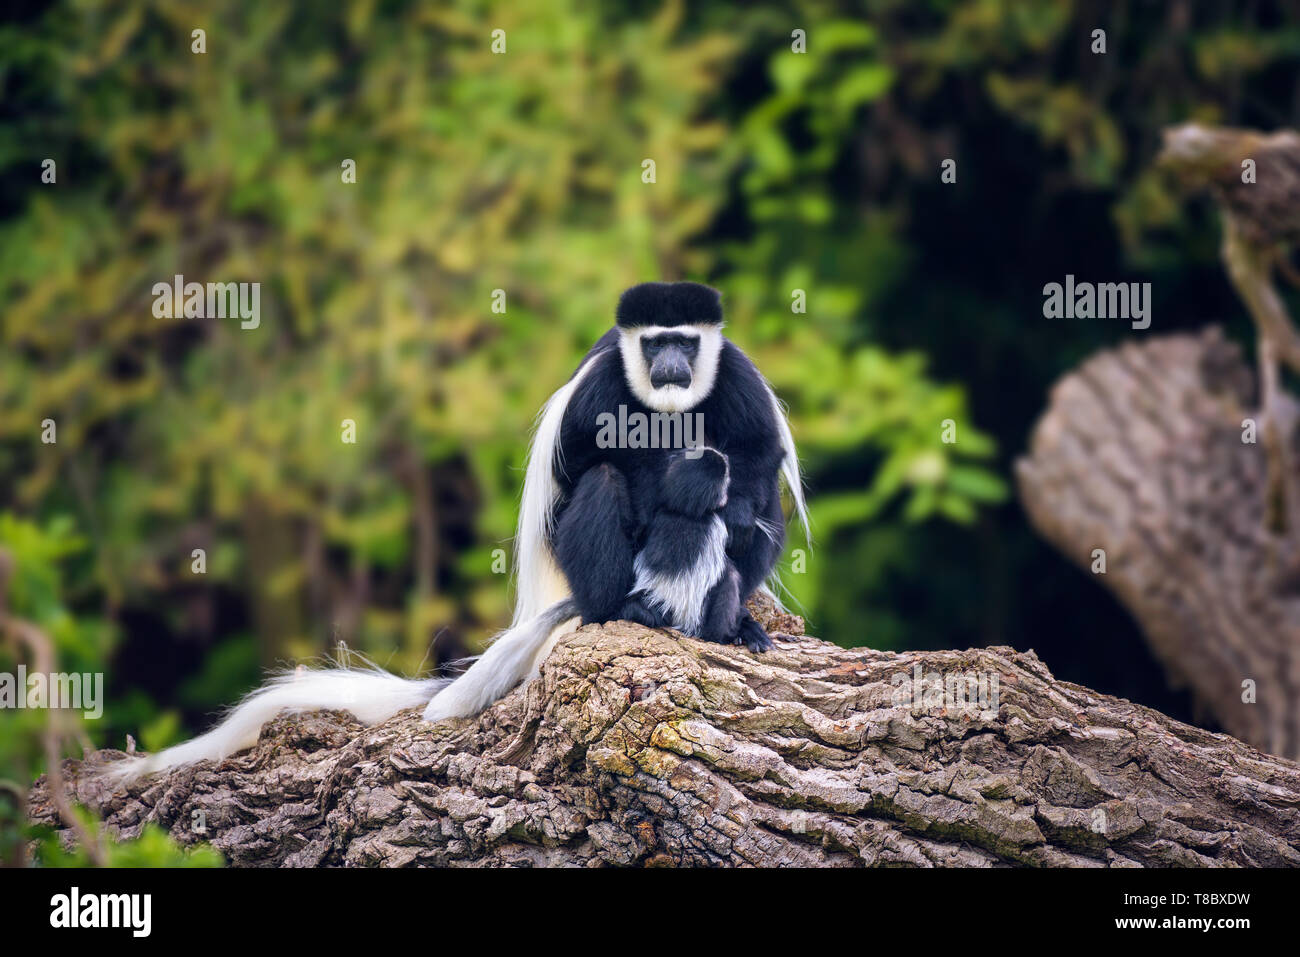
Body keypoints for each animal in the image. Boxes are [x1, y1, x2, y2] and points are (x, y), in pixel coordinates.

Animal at [111, 280, 806, 780]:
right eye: (654, 343)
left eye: (685, 343)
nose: (669, 365)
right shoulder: (604, 380)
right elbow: (588, 458)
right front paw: (672, 498)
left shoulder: (736, 374)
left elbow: (759, 453)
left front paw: (714, 510)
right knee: (603, 480)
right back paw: (624, 608)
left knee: (758, 505)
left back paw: (734, 621)